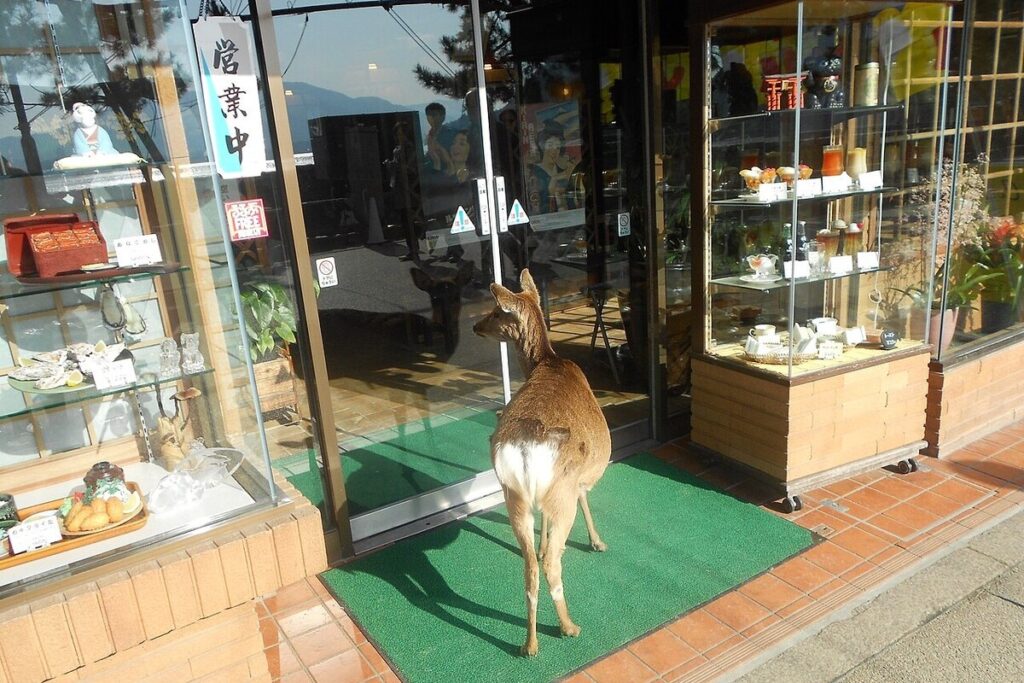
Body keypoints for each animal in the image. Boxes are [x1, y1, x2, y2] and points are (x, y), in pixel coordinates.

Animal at [472, 268, 611, 657]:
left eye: (495, 312)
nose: (474, 326)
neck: (547, 361)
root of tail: (525, 447)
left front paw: (547, 539)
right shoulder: (577, 478)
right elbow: (586, 497)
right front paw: (597, 542)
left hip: (513, 495)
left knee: (530, 565)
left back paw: (529, 644)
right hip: (558, 489)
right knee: (550, 564)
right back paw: (568, 626)